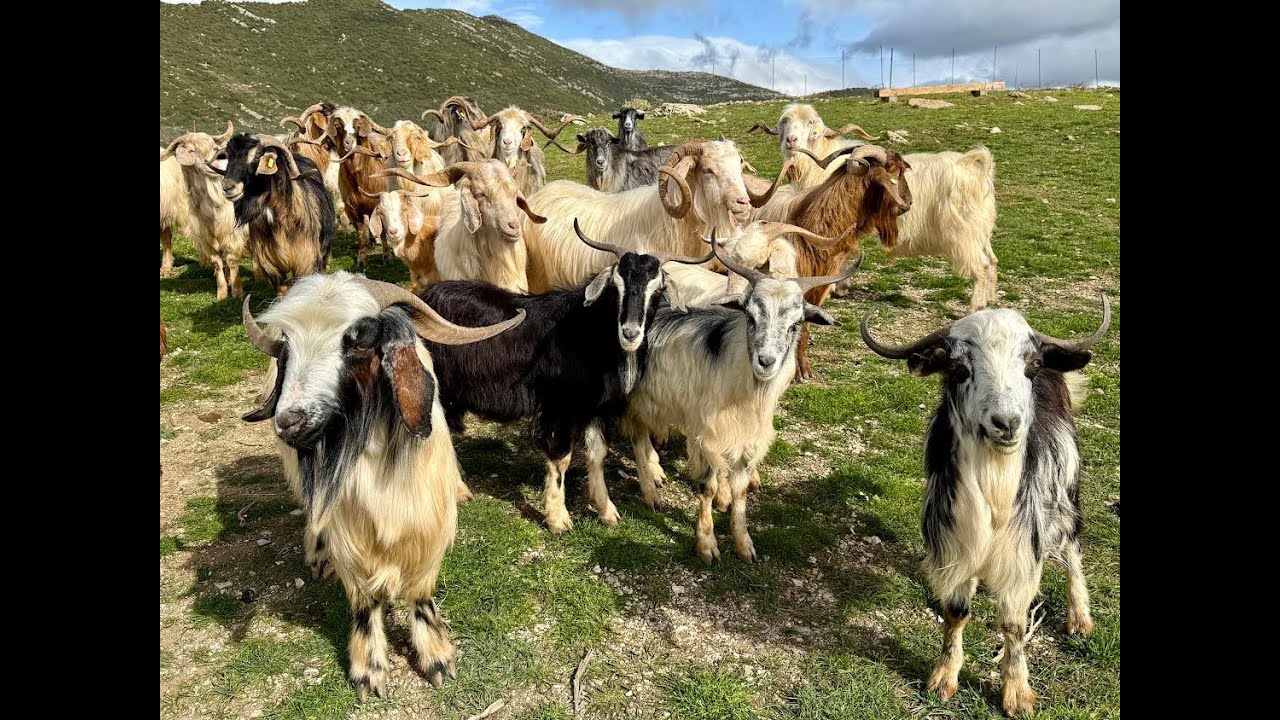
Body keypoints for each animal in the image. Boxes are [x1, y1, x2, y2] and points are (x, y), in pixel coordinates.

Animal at [160, 122, 249, 300]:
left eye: (215, 148)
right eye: (191, 150)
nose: (216, 166)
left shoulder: (232, 233)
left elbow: (232, 260)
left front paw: (237, 293)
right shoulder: (206, 235)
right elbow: (217, 262)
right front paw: (222, 294)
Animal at [241, 273, 525, 697]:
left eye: (358, 339)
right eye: (286, 344)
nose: (288, 421)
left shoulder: (426, 523)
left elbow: (421, 594)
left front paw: (437, 658)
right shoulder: (350, 533)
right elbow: (364, 601)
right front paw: (369, 669)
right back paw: (318, 556)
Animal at [419, 221, 711, 532]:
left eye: (657, 290)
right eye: (616, 285)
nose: (630, 332)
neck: (587, 331)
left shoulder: (595, 407)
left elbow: (598, 454)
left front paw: (606, 510)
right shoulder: (558, 407)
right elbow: (561, 458)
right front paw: (558, 518)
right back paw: (460, 490)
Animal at [618, 242, 859, 562]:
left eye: (795, 324)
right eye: (751, 316)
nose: (766, 361)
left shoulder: (746, 437)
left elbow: (741, 490)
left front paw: (744, 544)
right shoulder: (706, 433)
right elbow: (707, 487)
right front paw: (707, 545)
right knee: (637, 438)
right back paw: (651, 494)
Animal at [860, 295, 1110, 716]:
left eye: (1031, 365)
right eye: (959, 368)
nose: (1006, 424)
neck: (993, 489)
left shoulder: (1022, 548)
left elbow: (1012, 622)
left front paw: (1018, 694)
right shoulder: (953, 538)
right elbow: (956, 611)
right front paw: (943, 679)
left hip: (1066, 486)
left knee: (1073, 546)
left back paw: (1079, 618)